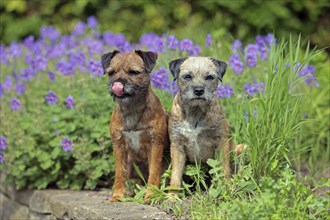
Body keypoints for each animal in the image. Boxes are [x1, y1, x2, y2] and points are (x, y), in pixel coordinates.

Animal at [101, 49, 169, 201]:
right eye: (111, 73)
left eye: (133, 72)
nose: (117, 83)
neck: (132, 108)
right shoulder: (119, 146)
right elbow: (119, 172)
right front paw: (118, 195)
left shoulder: (155, 144)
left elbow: (154, 171)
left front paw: (151, 194)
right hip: (131, 166)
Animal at [168, 56, 232, 189]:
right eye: (187, 76)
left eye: (210, 77)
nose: (198, 90)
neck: (196, 112)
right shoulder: (177, 146)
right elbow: (175, 177)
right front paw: (172, 194)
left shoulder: (222, 142)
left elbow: (224, 169)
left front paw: (228, 188)